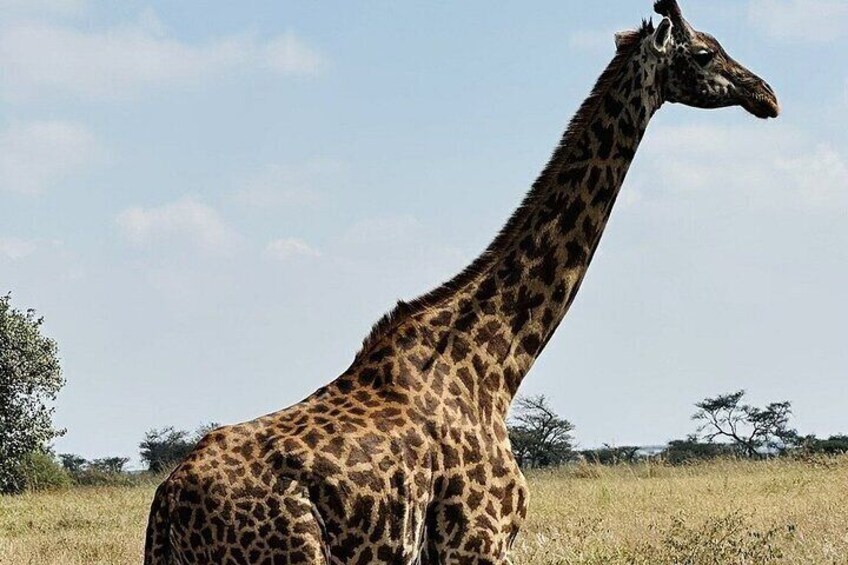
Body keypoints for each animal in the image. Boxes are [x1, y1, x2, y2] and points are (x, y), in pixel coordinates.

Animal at [145, 2, 779, 563]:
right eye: (704, 52)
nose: (766, 94)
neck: (496, 366)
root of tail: (166, 501)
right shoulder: (478, 541)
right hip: (290, 554)